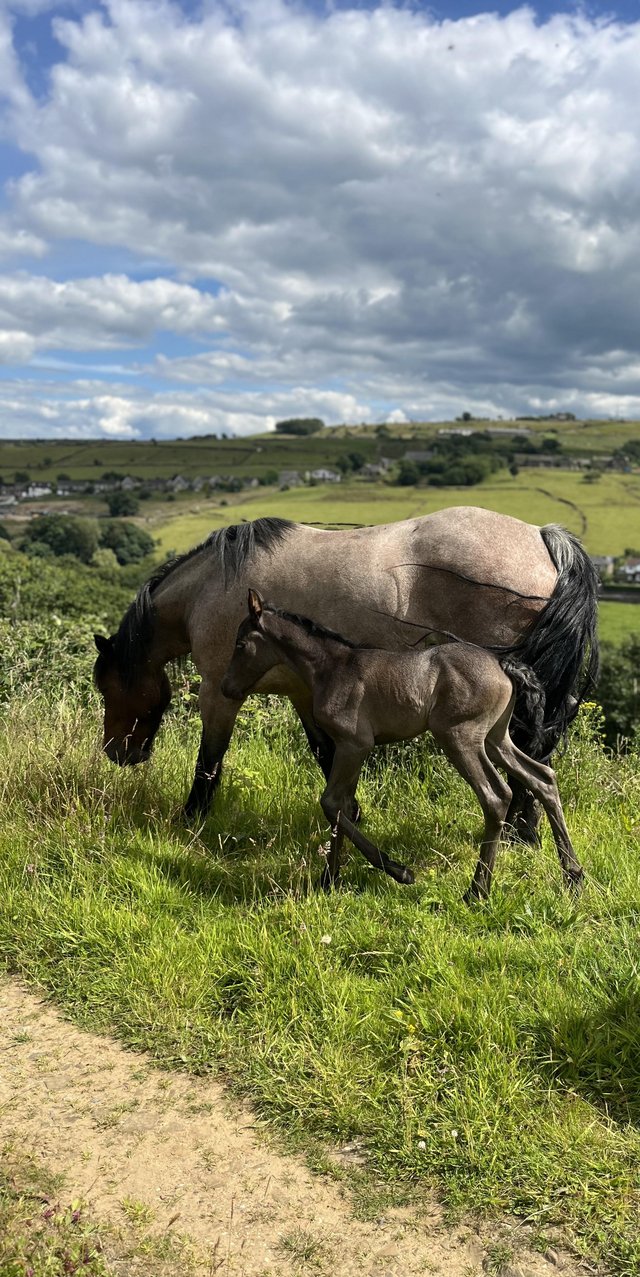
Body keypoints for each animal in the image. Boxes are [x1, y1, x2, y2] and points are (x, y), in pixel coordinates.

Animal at [92, 508, 595, 837]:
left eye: (107, 689)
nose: (117, 754)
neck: (210, 587)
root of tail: (542, 536)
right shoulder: (302, 692)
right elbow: (325, 753)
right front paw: (352, 815)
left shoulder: (219, 692)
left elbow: (209, 760)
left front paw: (191, 819)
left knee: (529, 749)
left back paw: (519, 831)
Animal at [220, 592, 585, 904]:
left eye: (240, 643)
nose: (226, 688)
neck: (332, 668)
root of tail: (503, 665)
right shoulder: (348, 749)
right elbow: (344, 807)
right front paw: (329, 881)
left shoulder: (355, 744)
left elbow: (331, 803)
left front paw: (399, 871)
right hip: (496, 739)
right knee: (542, 778)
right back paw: (573, 875)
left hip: (459, 737)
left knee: (496, 796)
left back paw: (477, 891)